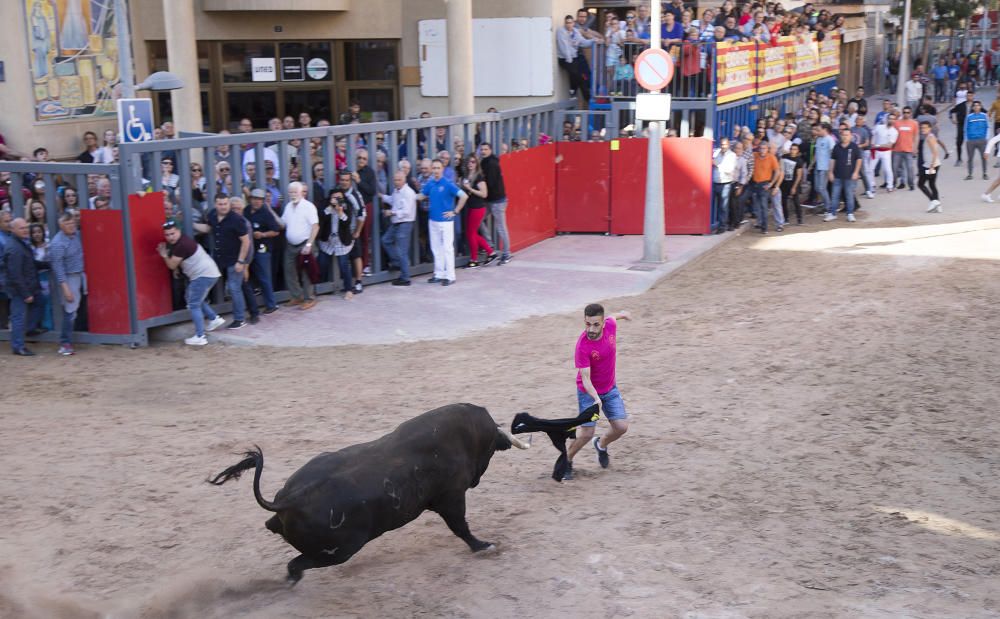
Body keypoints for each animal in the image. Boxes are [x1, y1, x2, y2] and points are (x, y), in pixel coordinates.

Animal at [207, 404, 528, 584]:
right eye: (491, 448)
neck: (463, 436)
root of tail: (291, 499)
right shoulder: (450, 499)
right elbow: (461, 528)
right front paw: (483, 546)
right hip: (341, 550)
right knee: (296, 565)